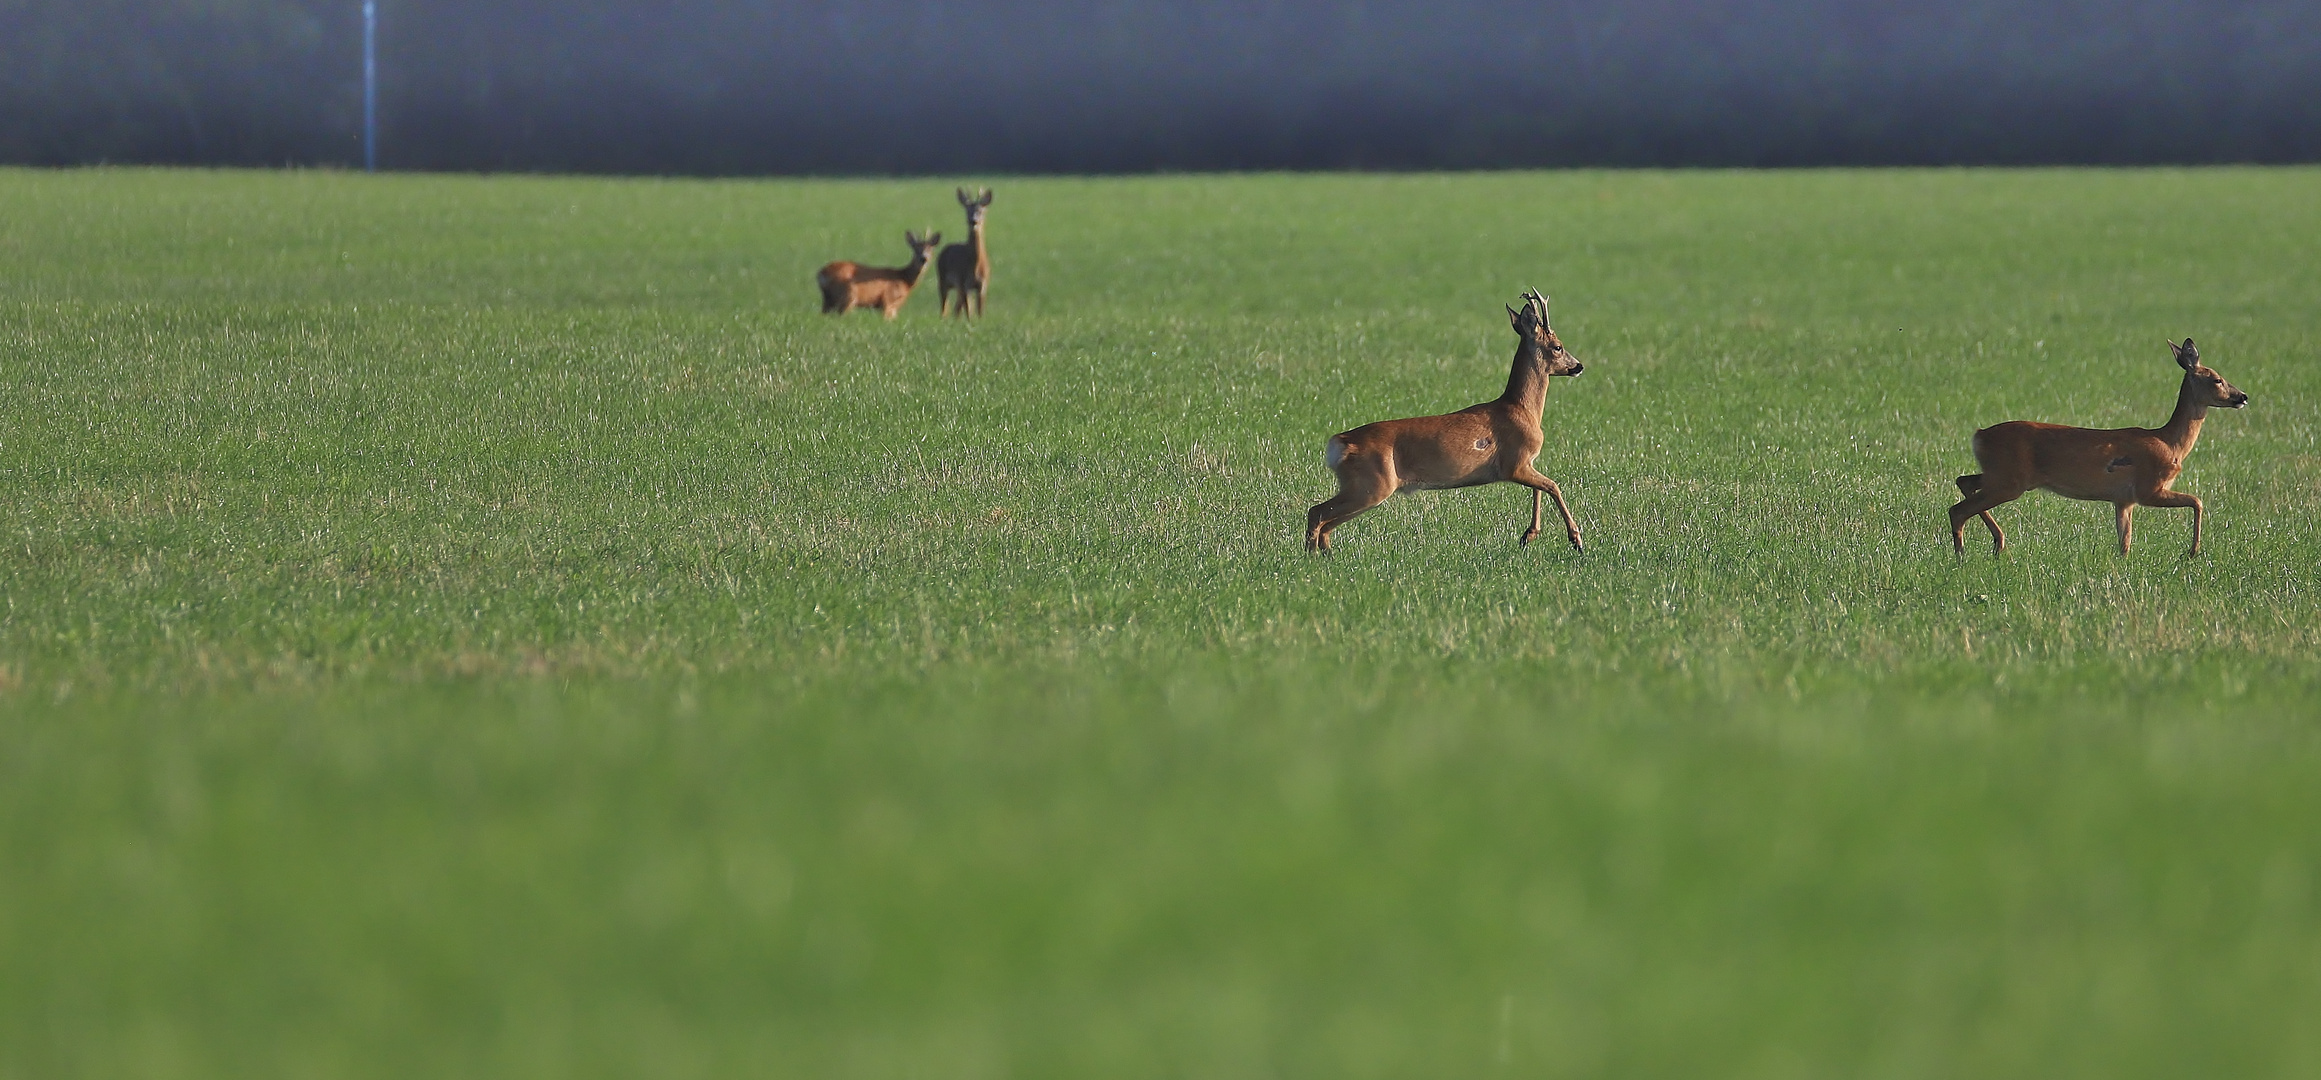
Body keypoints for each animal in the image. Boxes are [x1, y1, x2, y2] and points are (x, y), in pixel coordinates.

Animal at [933, 185, 988, 315]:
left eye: (981, 211)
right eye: (967, 210)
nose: (973, 221)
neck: (976, 265)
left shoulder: (982, 284)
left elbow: (979, 312)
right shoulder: (964, 283)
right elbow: (969, 313)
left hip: (957, 288)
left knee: (956, 309)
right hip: (943, 280)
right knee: (945, 307)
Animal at [1318, 288, 1587, 550]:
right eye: (1558, 346)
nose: (1578, 366)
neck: (1522, 409)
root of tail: (1339, 443)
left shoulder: (1524, 464)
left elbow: (1540, 489)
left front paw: (1528, 535)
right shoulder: (1514, 462)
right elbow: (1553, 485)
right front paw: (1575, 538)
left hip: (1361, 486)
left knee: (1323, 521)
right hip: (1371, 484)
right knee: (1318, 514)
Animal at [1949, 336, 2256, 555]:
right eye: (2217, 379)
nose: (2242, 396)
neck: (2172, 444)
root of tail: (1979, 435)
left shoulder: (2123, 500)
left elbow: (2125, 542)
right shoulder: (2149, 488)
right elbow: (2197, 501)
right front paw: (2191, 552)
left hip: (1999, 475)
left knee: (1963, 481)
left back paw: (1997, 542)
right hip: (2009, 481)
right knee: (1957, 509)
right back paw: (1963, 556)